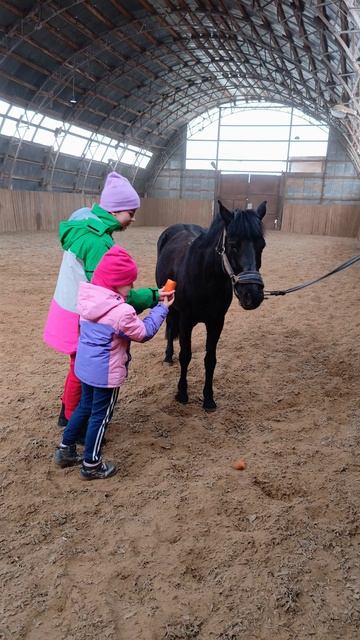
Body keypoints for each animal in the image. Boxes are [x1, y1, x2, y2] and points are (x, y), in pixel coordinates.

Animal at [155, 201, 268, 410]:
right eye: (232, 245)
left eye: (262, 245)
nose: (252, 295)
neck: (205, 277)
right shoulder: (186, 321)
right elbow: (185, 355)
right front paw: (182, 394)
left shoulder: (216, 322)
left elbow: (210, 359)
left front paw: (208, 398)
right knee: (170, 325)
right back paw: (168, 356)